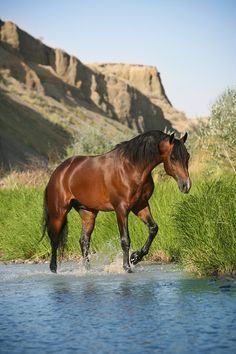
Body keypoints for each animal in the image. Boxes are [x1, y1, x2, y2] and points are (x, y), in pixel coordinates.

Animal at [41, 131, 191, 274]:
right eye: (173, 157)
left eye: (187, 156)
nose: (186, 185)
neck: (131, 168)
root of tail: (58, 172)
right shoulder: (121, 209)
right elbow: (125, 240)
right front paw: (127, 267)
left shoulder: (140, 206)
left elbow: (153, 229)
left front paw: (135, 257)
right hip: (59, 213)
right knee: (54, 239)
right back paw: (53, 269)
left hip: (88, 213)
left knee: (84, 241)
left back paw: (86, 269)